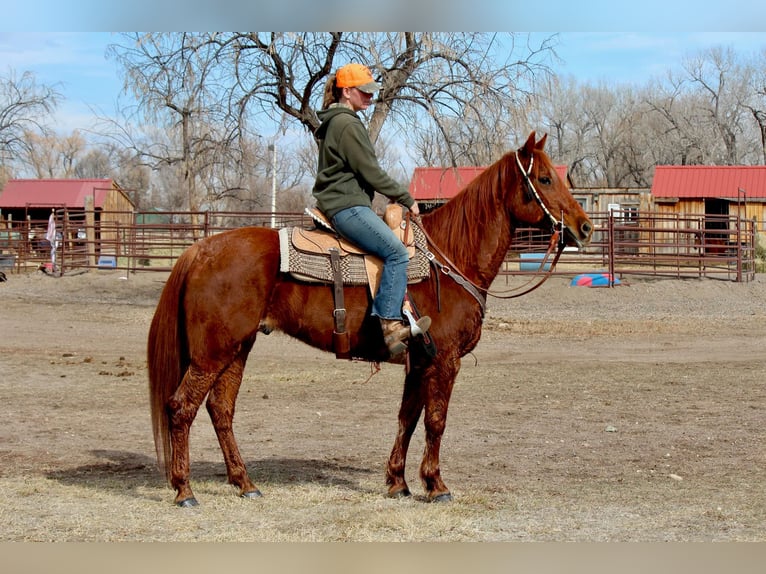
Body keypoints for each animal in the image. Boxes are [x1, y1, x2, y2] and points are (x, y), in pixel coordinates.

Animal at [147, 131, 594, 507]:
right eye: (544, 179)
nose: (585, 227)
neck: (449, 258)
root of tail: (201, 250)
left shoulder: (421, 361)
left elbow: (408, 419)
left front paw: (399, 482)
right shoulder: (444, 360)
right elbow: (435, 421)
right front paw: (436, 485)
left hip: (237, 348)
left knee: (220, 410)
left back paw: (245, 483)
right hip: (212, 354)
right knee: (181, 408)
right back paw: (184, 490)